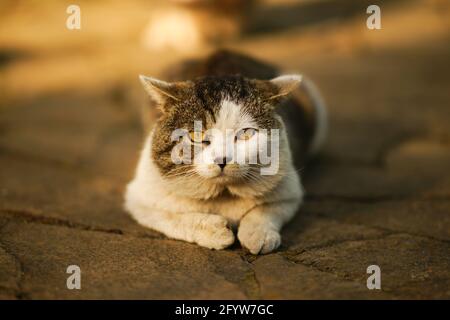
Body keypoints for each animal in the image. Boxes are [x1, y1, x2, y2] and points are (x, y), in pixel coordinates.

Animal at [124, 50, 326, 255]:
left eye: (246, 134)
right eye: (196, 135)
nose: (222, 159)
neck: (223, 194)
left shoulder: (290, 191)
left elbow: (266, 209)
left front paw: (258, 235)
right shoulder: (139, 199)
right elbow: (173, 218)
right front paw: (216, 231)